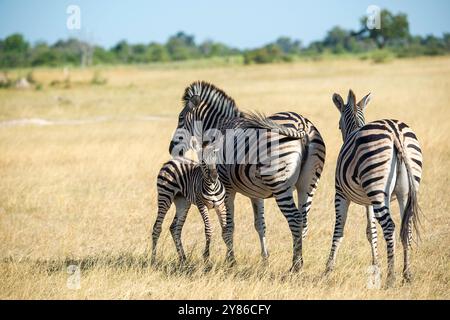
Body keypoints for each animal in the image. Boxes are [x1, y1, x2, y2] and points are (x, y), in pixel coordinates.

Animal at [167, 81, 326, 272]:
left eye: (180, 119)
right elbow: (260, 225)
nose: (171, 148)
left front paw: (231, 261)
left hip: (280, 185)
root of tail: (302, 124)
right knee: (303, 221)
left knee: (295, 219)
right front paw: (265, 260)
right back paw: (300, 261)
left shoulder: (226, 188)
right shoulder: (256, 193)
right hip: (308, 185)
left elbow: (228, 227)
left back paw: (295, 266)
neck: (219, 129)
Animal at [326, 90, 424, 288]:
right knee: (406, 228)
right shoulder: (368, 201)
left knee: (390, 227)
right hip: (404, 191)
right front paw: (376, 265)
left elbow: (339, 230)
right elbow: (371, 232)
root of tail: (396, 132)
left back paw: (391, 278)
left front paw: (328, 269)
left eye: (338, 126)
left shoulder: (340, 194)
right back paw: (407, 274)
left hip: (377, 188)